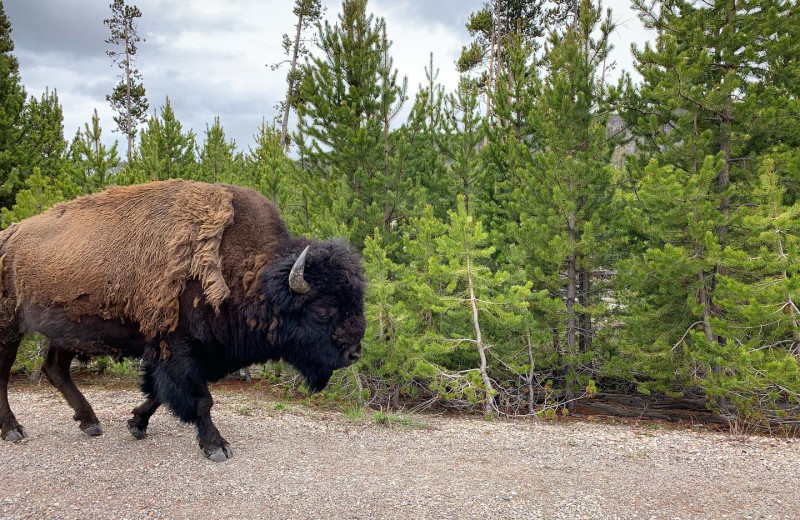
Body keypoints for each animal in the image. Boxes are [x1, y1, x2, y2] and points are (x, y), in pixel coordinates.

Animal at [0, 181, 368, 462]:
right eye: (323, 310)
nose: (354, 354)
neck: (251, 276)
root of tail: (10, 234)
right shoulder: (177, 348)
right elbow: (200, 399)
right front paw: (217, 447)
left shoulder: (189, 352)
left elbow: (160, 393)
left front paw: (136, 424)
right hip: (9, 328)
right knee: (7, 374)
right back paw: (14, 430)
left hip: (66, 330)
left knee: (55, 368)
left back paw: (90, 422)